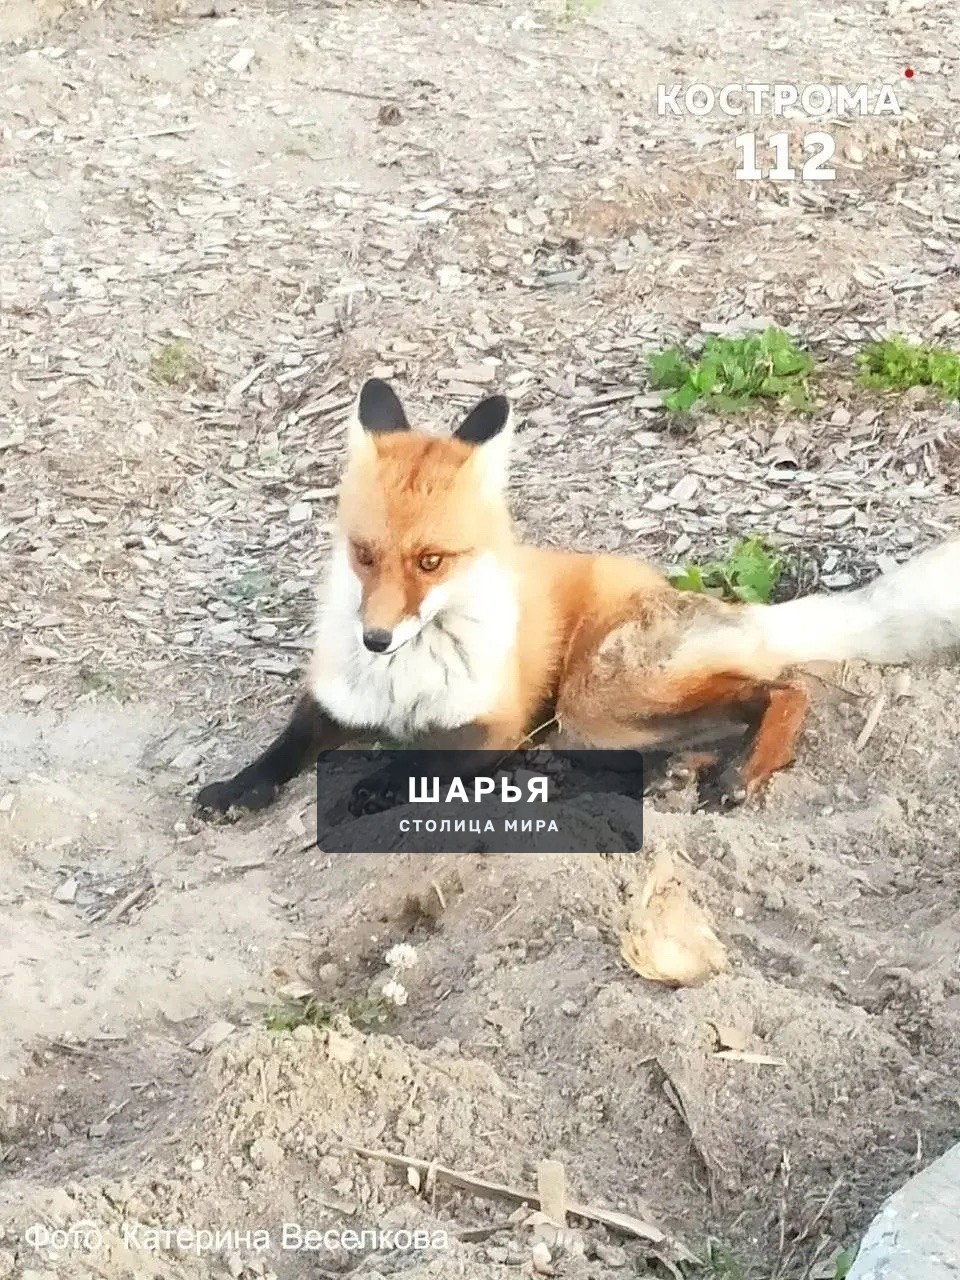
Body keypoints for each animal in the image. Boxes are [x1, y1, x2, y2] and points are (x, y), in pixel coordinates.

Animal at [195, 377, 960, 819]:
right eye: (363, 555)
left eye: (430, 562)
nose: (375, 639)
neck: (403, 682)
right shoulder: (334, 700)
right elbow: (284, 748)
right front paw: (239, 787)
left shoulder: (494, 726)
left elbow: (415, 762)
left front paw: (375, 785)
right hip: (604, 722)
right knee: (721, 719)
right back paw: (675, 774)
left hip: (596, 700)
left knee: (785, 688)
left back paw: (743, 771)